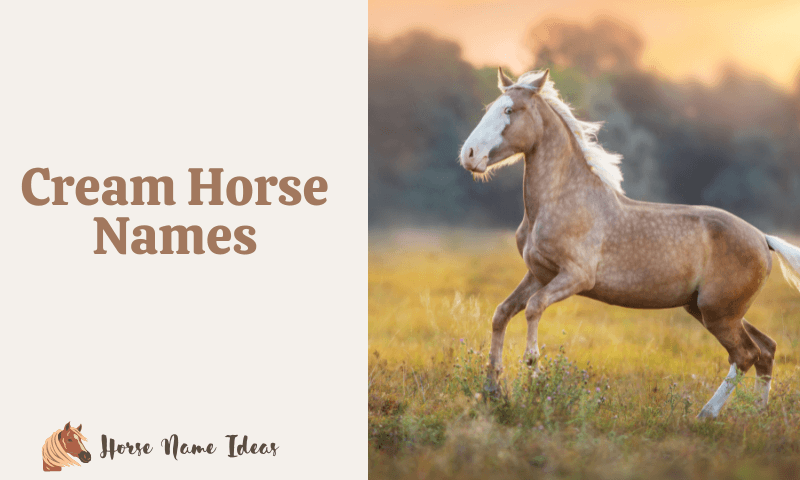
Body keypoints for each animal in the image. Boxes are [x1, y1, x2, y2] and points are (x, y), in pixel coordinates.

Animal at [458, 67, 800, 418]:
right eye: (491, 107)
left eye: (510, 110)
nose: (469, 155)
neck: (559, 201)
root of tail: (763, 238)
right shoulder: (538, 274)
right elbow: (502, 313)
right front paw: (492, 391)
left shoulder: (575, 277)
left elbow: (534, 309)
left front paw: (535, 384)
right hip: (708, 309)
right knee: (766, 349)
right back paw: (756, 414)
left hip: (718, 313)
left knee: (745, 355)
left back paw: (706, 415)